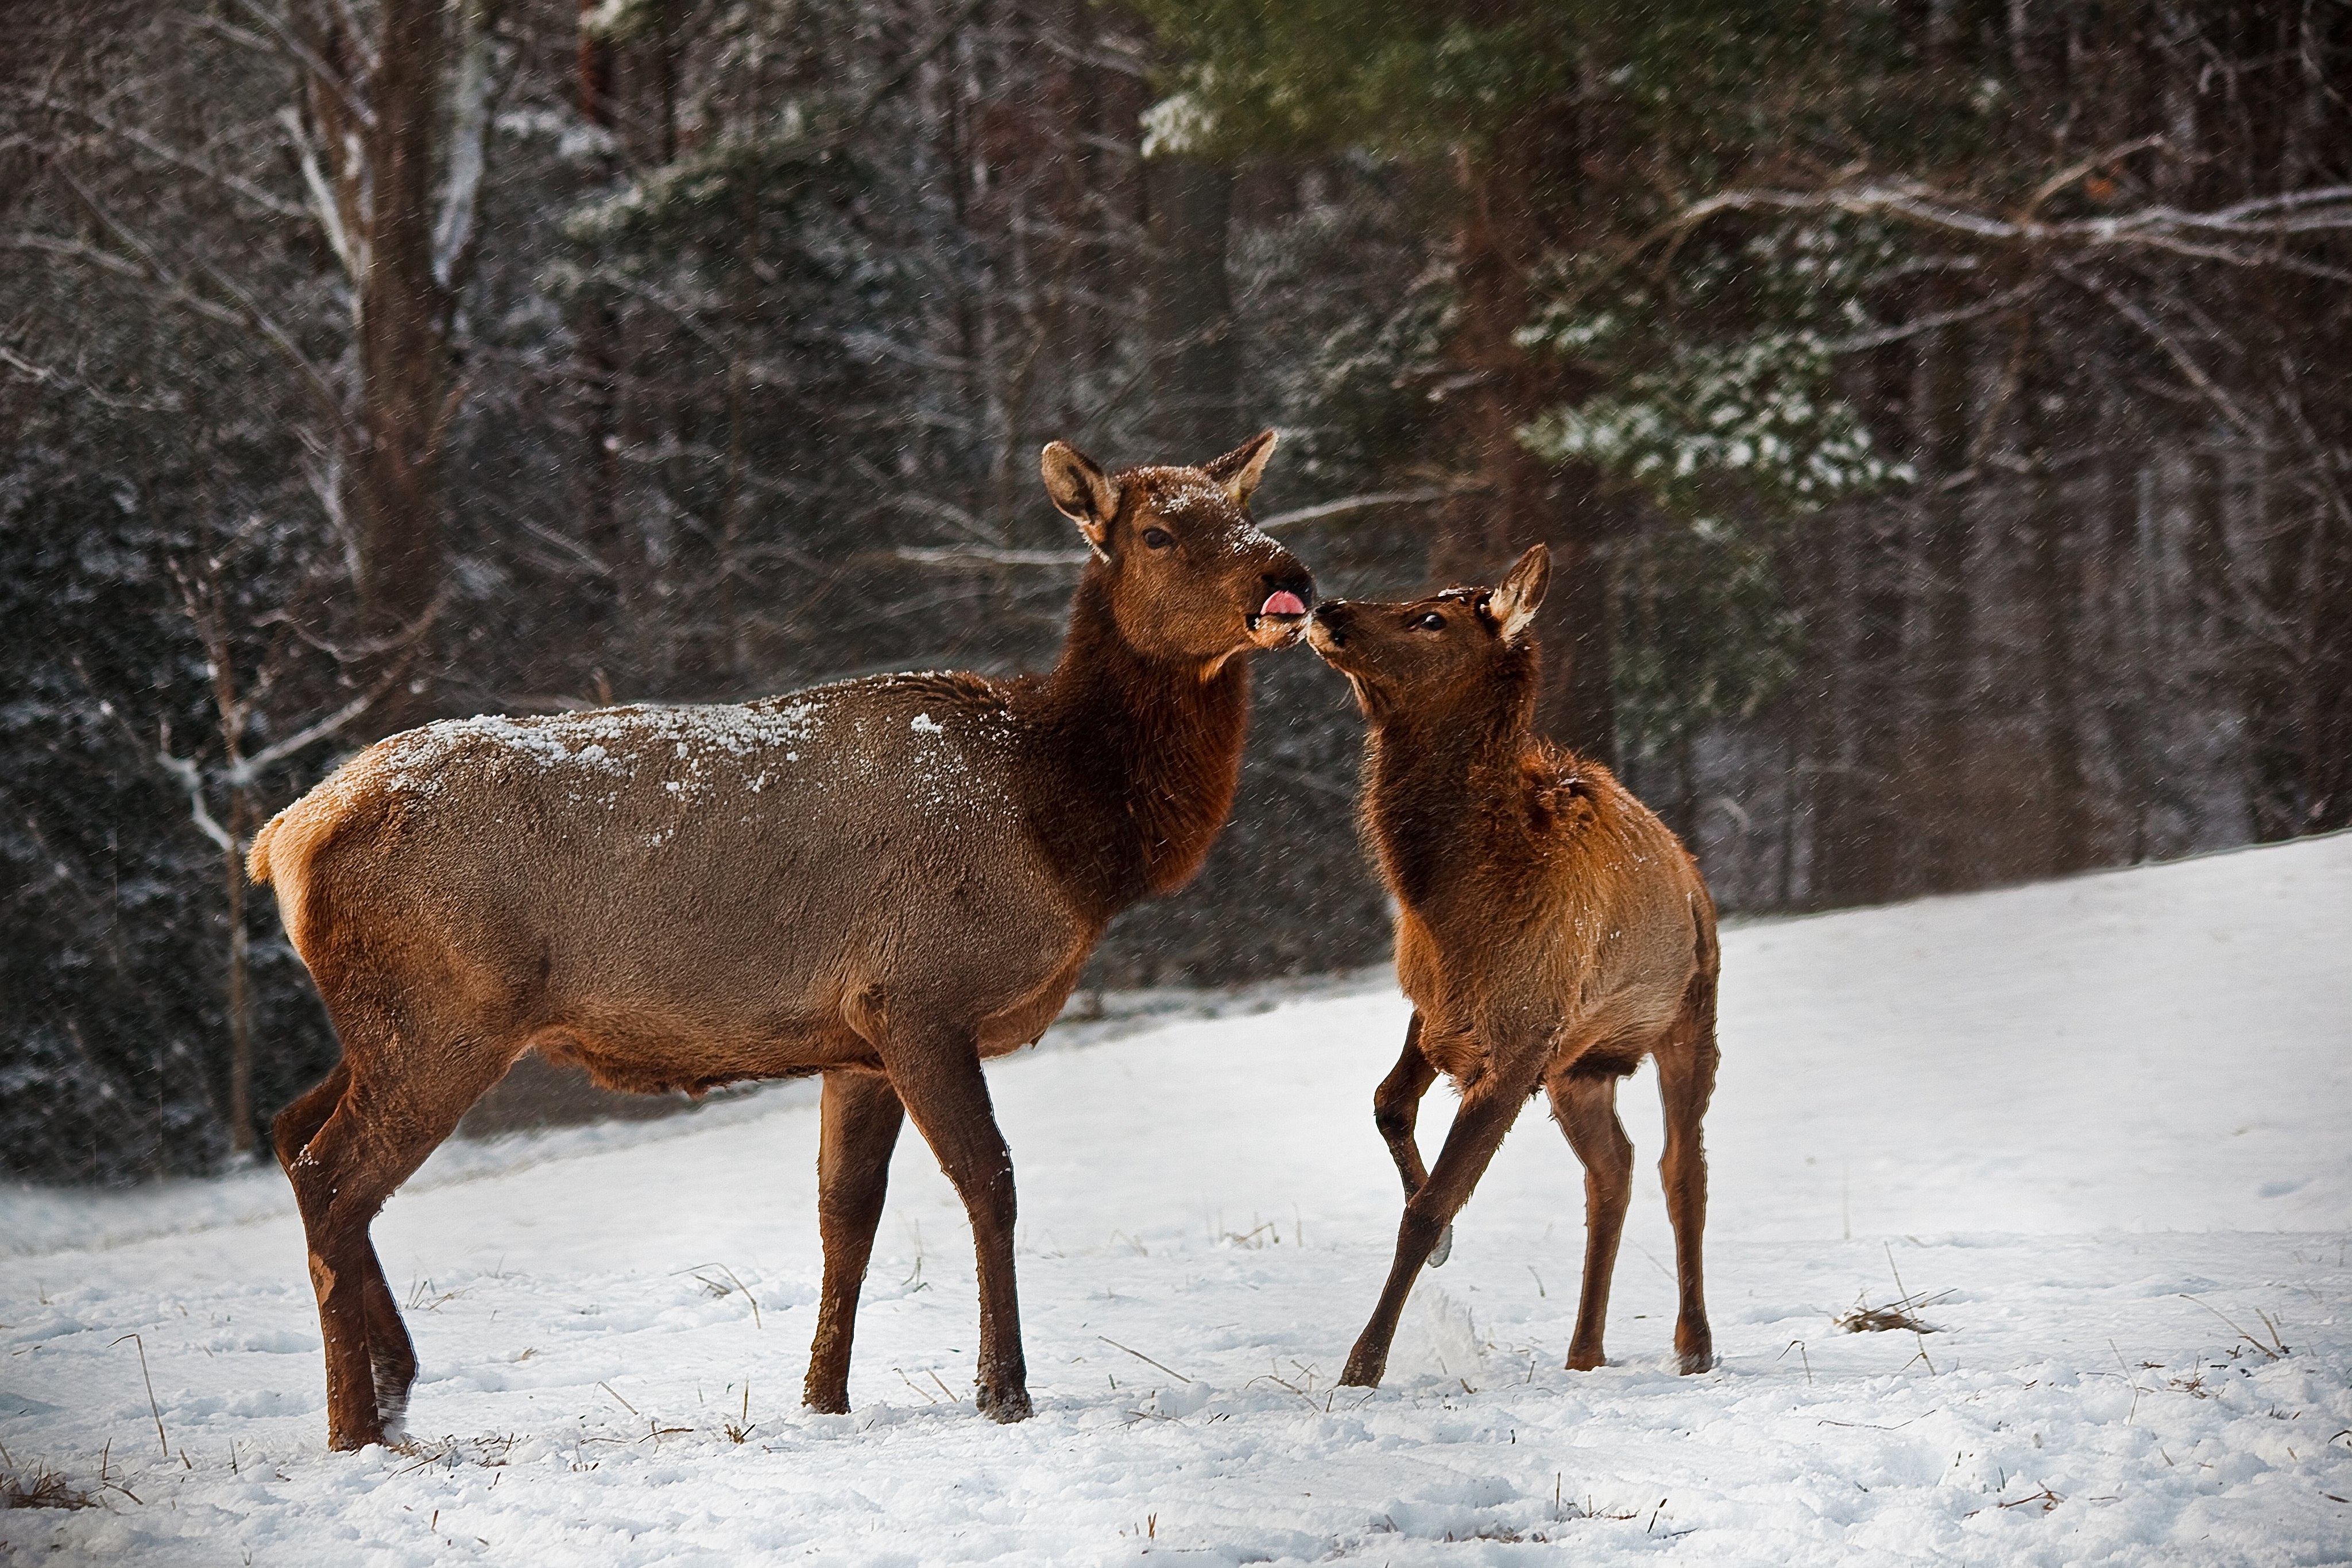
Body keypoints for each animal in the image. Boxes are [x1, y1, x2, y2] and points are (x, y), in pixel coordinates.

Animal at [247, 432, 1314, 1450]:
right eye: (1158, 534)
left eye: (1243, 509)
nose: (1286, 574)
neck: (1066, 829)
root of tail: (287, 837)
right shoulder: (918, 994)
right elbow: (990, 1181)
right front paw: (1004, 1390)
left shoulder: (855, 1041)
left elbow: (847, 1216)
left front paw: (822, 1397)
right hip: (445, 1017)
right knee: (334, 1178)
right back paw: (355, 1427)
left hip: (393, 1022)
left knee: (292, 1131)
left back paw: (396, 1386)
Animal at [1303, 544, 1719, 1388]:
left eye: (1431, 618)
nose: (1326, 609)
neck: (1453, 905)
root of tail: (1690, 872)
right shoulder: (1438, 1008)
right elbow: (1386, 1102)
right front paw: (1444, 1248)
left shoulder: (1519, 1043)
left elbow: (1429, 1205)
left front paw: (1363, 1363)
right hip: (1580, 1067)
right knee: (1614, 1167)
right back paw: (1585, 1349)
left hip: (1689, 1018)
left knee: (1679, 1166)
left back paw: (1694, 1344)